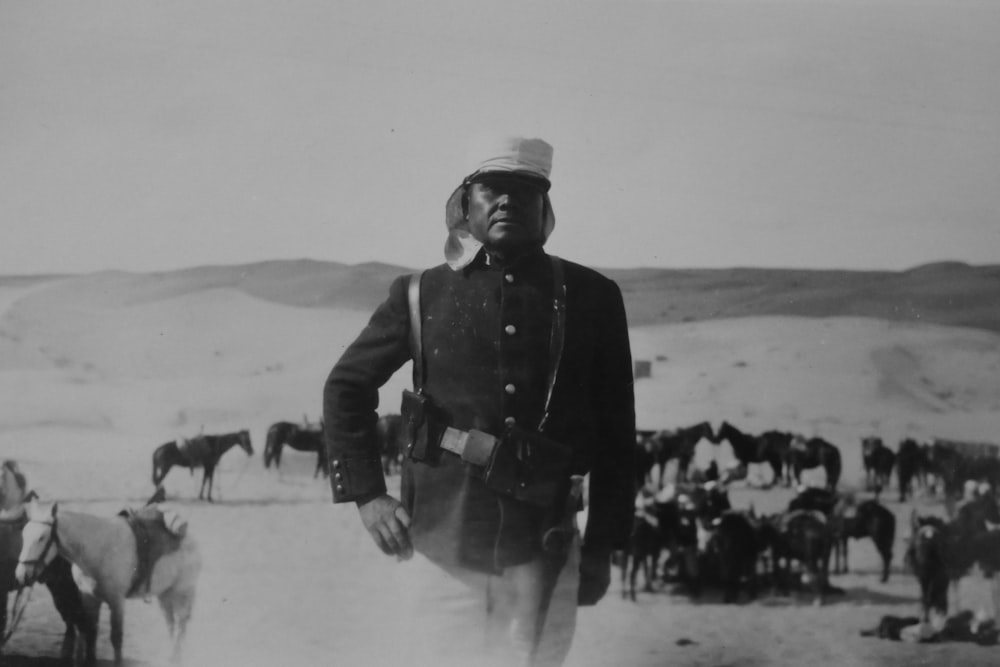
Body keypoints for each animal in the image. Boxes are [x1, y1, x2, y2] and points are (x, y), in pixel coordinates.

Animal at [15, 504, 201, 664]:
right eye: (23, 535)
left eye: (41, 538)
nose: (21, 574)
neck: (97, 549)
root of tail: (190, 538)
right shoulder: (89, 599)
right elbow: (90, 633)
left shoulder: (116, 602)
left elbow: (116, 638)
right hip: (165, 595)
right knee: (170, 623)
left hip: (182, 592)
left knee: (181, 625)